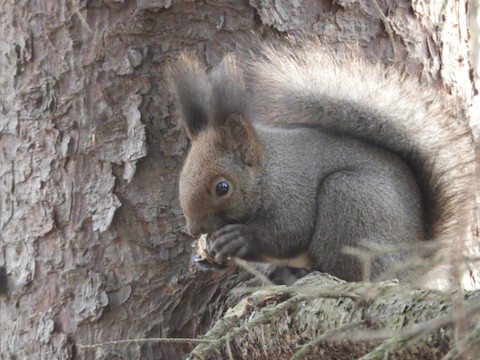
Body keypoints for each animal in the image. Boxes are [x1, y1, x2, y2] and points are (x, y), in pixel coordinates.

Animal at [167, 38, 474, 286]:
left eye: (222, 187)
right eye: (181, 177)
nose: (194, 229)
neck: (267, 171)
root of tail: (411, 268)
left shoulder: (292, 191)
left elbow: (289, 232)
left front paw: (240, 239)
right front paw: (202, 255)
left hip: (351, 201)